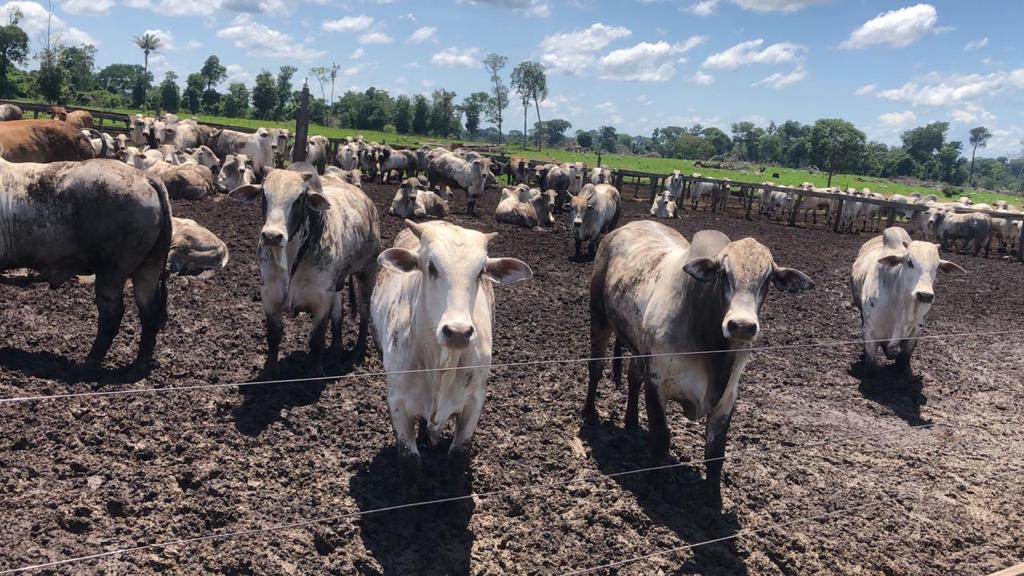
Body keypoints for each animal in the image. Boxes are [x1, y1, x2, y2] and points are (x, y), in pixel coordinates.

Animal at [228, 162, 380, 377]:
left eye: (299, 199)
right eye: (264, 195)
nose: (272, 236)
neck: (291, 258)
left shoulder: (322, 299)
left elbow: (316, 339)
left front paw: (315, 372)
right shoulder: (269, 294)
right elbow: (273, 335)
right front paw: (271, 371)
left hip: (367, 273)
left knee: (365, 311)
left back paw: (358, 348)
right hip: (338, 284)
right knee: (339, 314)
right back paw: (336, 348)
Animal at [376, 222, 536, 491]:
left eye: (481, 271)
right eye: (431, 266)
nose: (458, 332)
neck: (441, 362)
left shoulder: (474, 401)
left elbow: (458, 456)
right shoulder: (397, 401)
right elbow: (410, 462)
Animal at [585, 222, 815, 500]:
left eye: (767, 279)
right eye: (723, 274)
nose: (742, 326)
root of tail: (621, 229)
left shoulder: (727, 397)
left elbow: (715, 453)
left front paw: (712, 500)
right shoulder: (657, 383)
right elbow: (660, 439)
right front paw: (656, 486)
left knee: (633, 377)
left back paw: (631, 422)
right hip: (599, 318)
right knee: (596, 367)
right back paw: (589, 413)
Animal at [851, 226, 962, 368]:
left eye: (937, 266)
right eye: (909, 262)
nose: (925, 295)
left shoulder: (913, 335)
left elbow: (903, 360)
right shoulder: (871, 334)